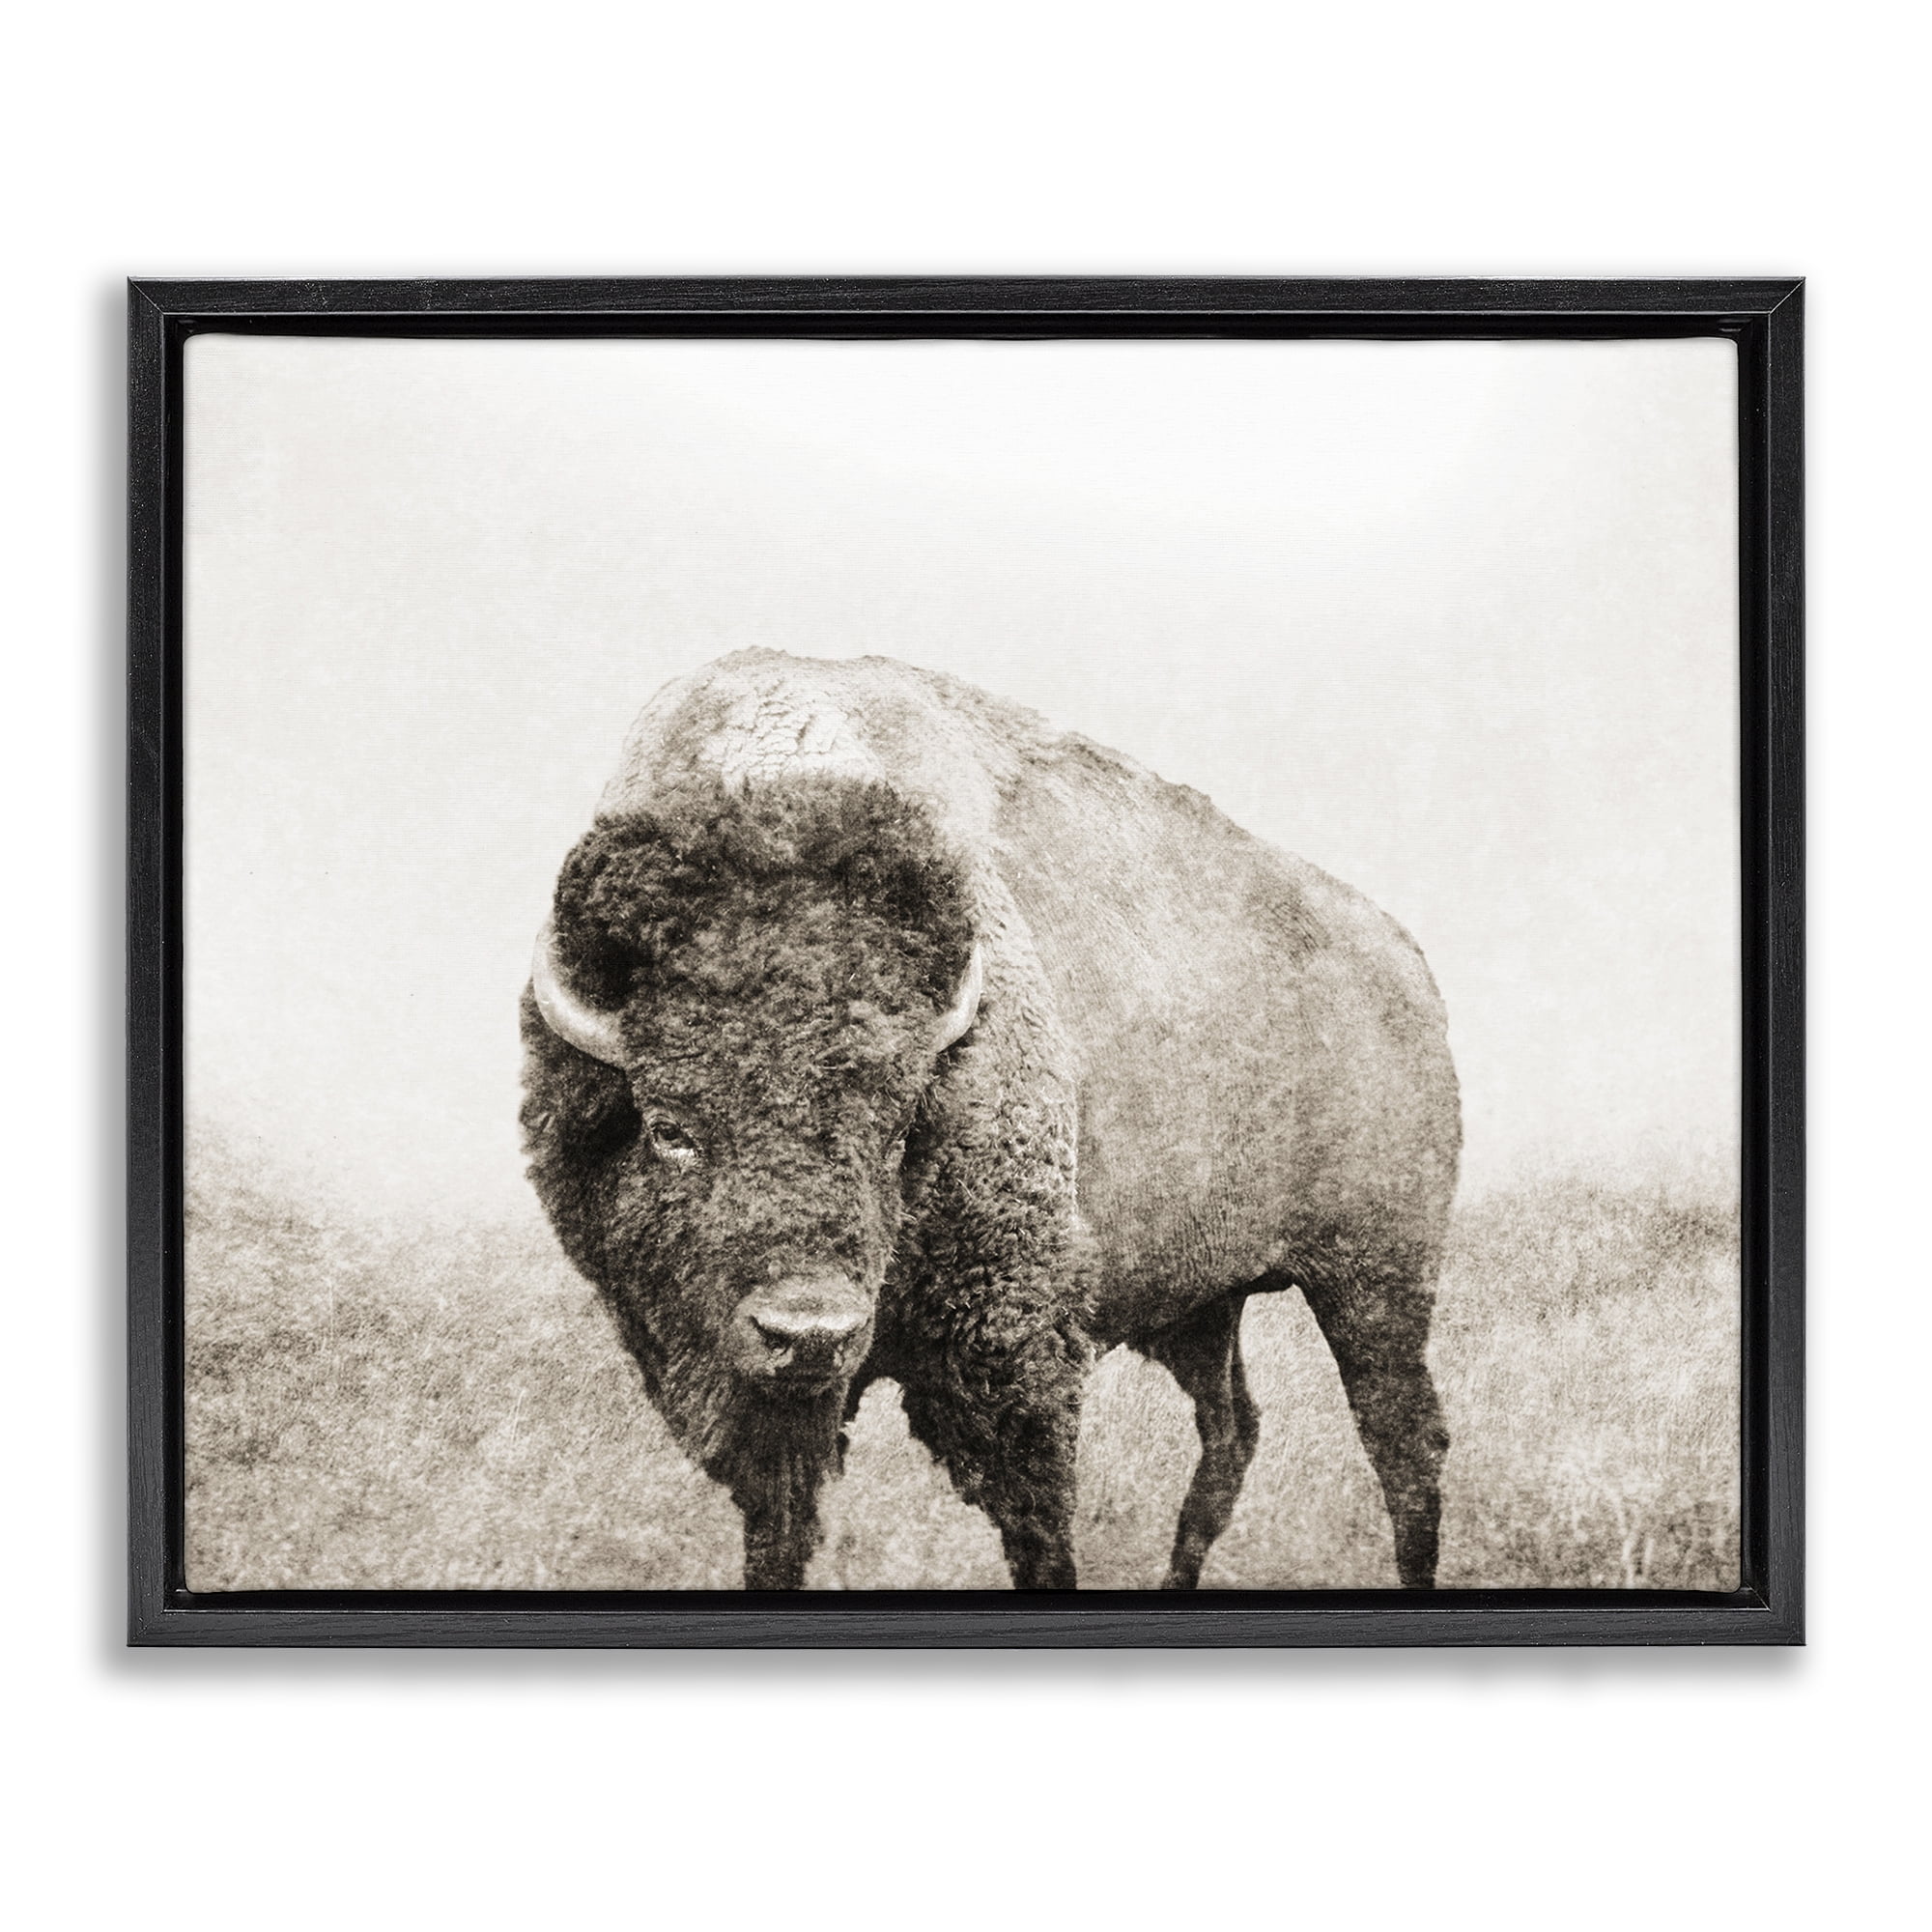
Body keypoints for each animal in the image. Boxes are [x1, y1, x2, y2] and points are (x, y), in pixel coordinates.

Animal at [521, 650, 1459, 1589]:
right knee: (1232, 1433)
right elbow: (778, 1530)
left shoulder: (1013, 1350)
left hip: (1375, 1280)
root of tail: (1406, 961)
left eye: (898, 1130)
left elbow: (1038, 1525)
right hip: (1206, 1304)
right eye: (669, 1129)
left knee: (1405, 1445)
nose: (810, 1333)